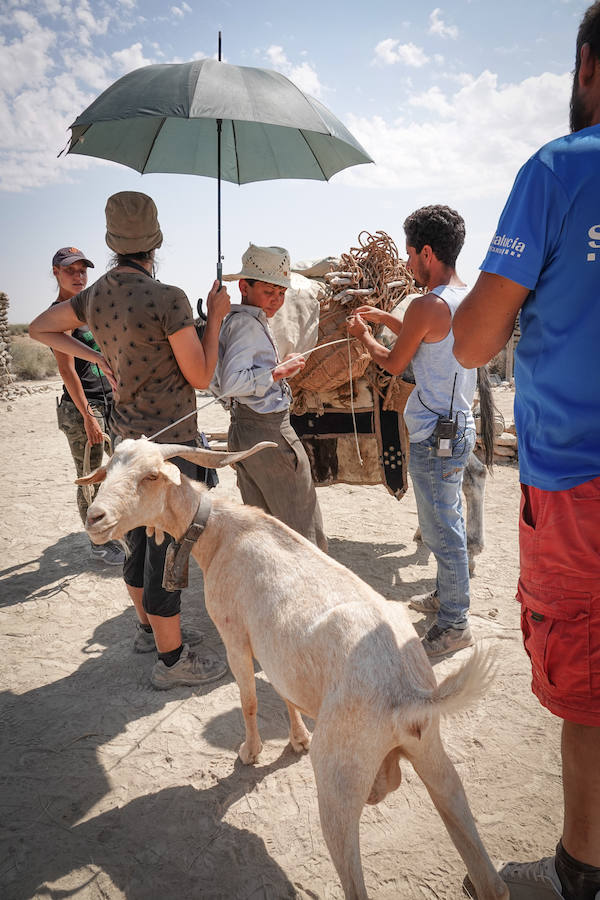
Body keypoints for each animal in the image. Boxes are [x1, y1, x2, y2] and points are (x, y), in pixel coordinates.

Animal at [75, 438, 506, 900]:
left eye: (151, 475)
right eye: (108, 470)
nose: (96, 518)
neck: (220, 532)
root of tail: (410, 694)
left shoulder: (235, 633)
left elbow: (248, 698)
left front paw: (250, 753)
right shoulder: (276, 650)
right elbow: (284, 694)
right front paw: (297, 740)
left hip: (337, 776)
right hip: (433, 756)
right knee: (488, 875)